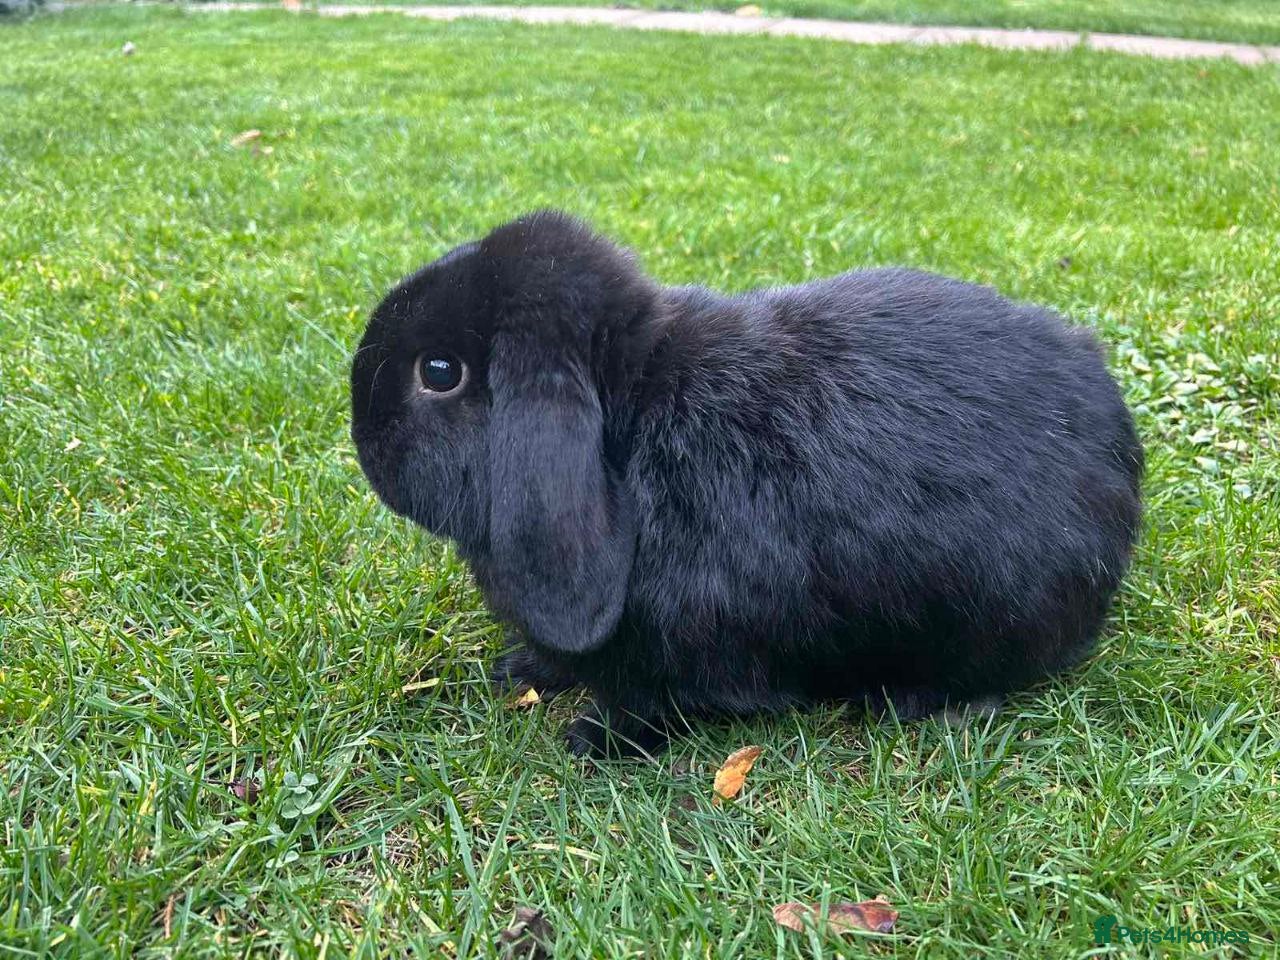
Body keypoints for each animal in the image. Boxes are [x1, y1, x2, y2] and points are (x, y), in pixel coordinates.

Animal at [351, 210, 1143, 758]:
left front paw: (595, 741)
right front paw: (523, 668)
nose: (362, 434)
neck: (634, 420)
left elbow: (656, 704)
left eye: (440, 372)